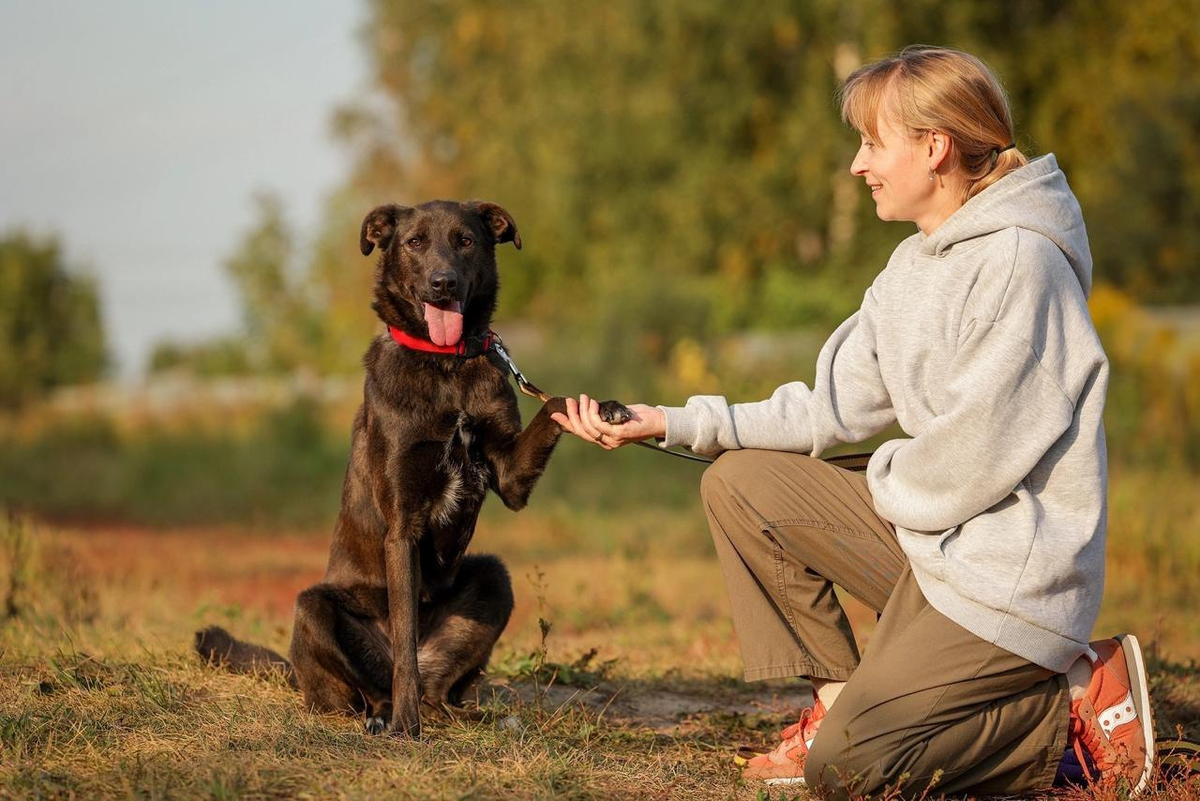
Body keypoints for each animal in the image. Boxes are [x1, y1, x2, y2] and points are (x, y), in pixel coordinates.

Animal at [194, 201, 628, 738]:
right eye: (415, 242)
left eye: (466, 240)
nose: (443, 283)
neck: (444, 366)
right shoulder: (402, 528)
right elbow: (403, 645)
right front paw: (405, 727)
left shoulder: (509, 477)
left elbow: (558, 403)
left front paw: (602, 409)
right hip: (314, 609)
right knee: (375, 685)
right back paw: (387, 716)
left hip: (493, 577)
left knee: (437, 688)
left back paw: (470, 716)